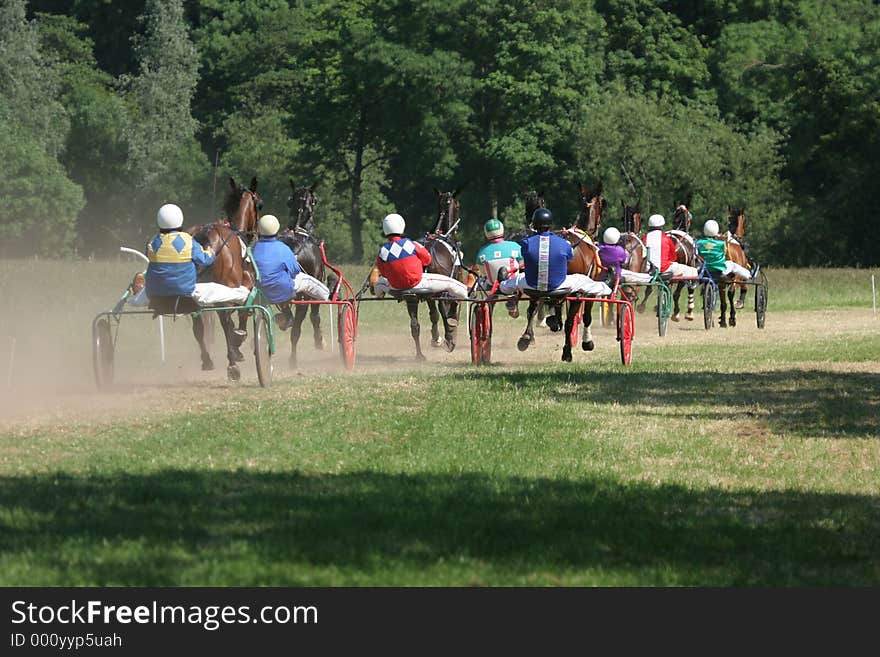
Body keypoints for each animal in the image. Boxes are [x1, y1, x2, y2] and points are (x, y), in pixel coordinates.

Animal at [276, 179, 328, 366]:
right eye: (315, 200)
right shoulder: (315, 288)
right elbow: (315, 317)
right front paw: (319, 341)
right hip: (304, 295)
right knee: (297, 328)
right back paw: (293, 359)